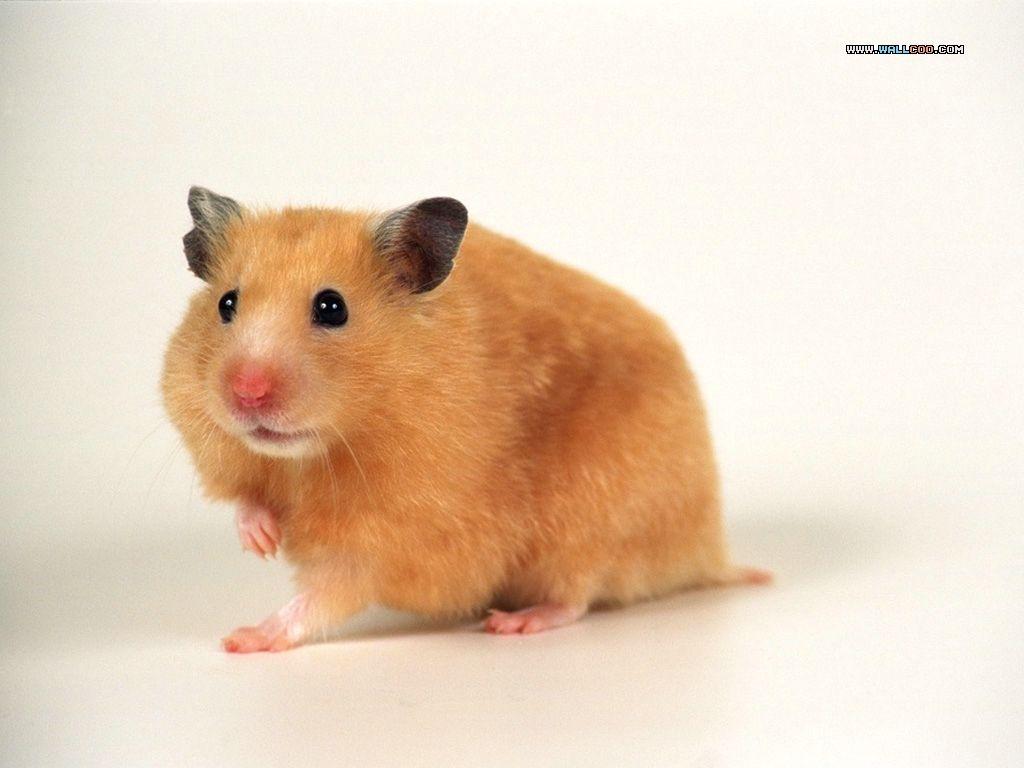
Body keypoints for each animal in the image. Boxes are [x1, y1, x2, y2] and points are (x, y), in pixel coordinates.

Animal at [162, 186, 769, 653]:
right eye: (226, 304)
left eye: (332, 308)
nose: (246, 394)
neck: (320, 453)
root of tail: (707, 549)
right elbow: (245, 497)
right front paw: (261, 539)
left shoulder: (389, 537)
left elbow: (323, 596)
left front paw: (241, 640)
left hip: (594, 521)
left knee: (576, 594)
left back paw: (514, 623)